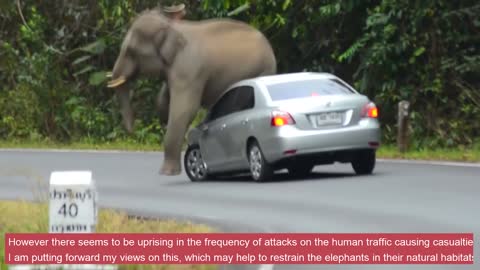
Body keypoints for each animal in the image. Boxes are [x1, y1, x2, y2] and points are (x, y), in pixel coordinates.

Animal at [106, 7, 276, 175]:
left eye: (131, 51)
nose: (132, 131)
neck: (172, 27)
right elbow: (163, 100)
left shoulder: (189, 68)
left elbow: (185, 109)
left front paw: (166, 172)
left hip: (261, 70)